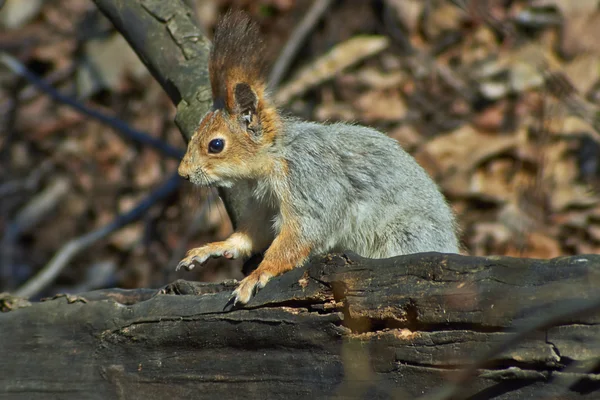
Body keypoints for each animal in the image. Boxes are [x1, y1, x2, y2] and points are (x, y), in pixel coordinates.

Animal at [176, 10, 458, 304]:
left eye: (216, 145)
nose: (183, 174)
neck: (276, 158)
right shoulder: (264, 204)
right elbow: (253, 233)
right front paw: (216, 247)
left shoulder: (311, 183)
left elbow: (302, 234)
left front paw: (258, 274)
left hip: (406, 237)